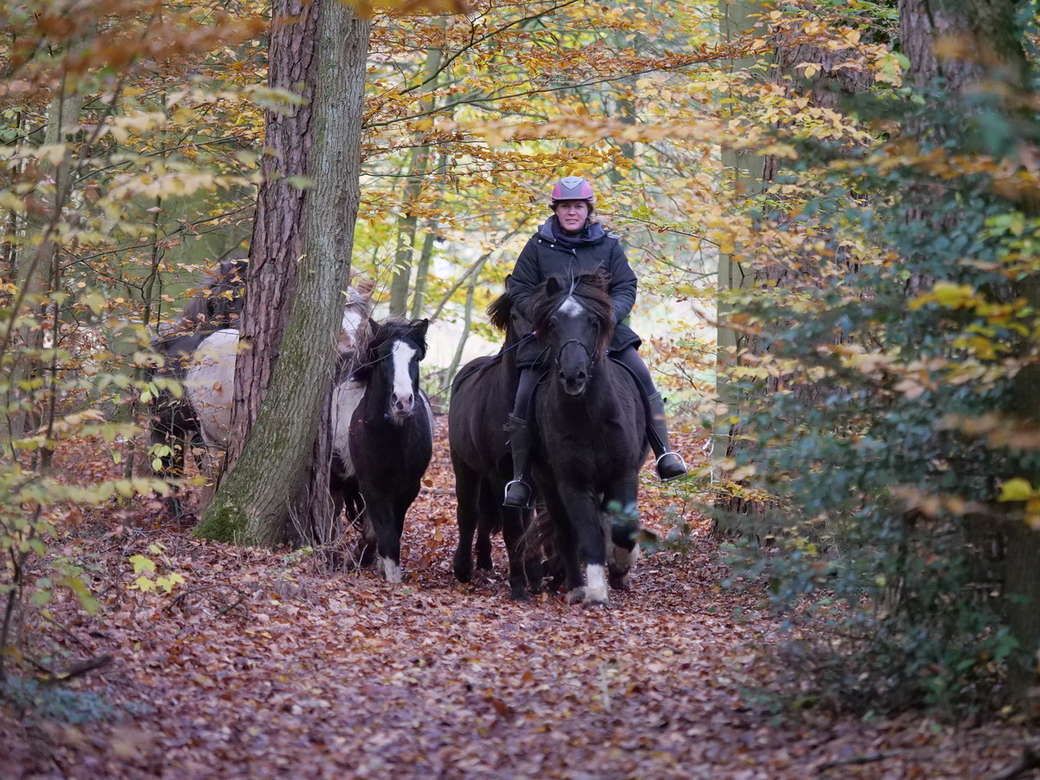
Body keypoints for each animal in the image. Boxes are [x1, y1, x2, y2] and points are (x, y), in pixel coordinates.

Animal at [330, 318, 432, 586]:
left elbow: (390, 531)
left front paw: (380, 567)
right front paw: (391, 578)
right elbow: (383, 535)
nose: (402, 401)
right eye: (384, 357)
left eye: (416, 357)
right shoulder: (372, 486)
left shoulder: (408, 488)